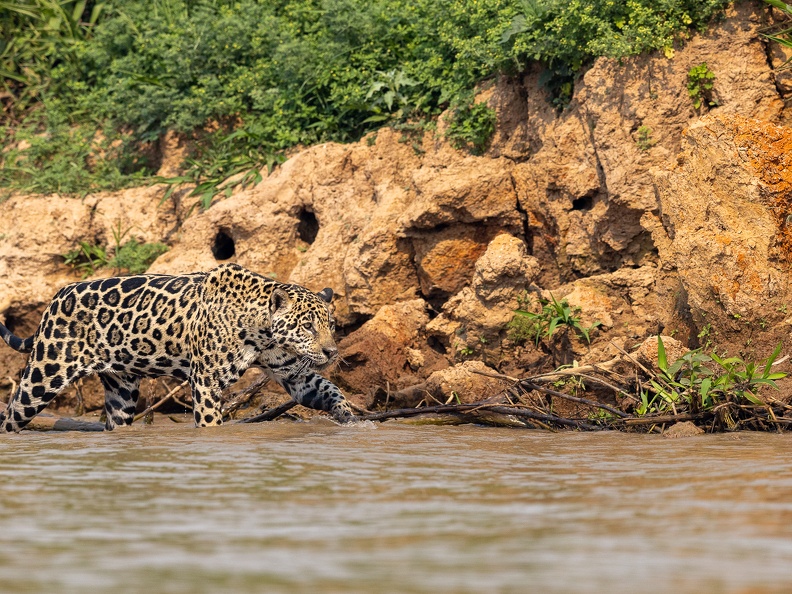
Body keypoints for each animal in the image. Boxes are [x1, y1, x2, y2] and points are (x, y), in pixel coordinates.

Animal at [0, 263, 356, 432]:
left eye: (331, 325)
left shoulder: (295, 375)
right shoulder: (207, 381)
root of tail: (55, 298)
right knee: (11, 415)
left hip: (122, 391)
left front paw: (348, 417)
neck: (264, 334)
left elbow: (329, 389)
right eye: (307, 326)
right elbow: (210, 421)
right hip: (44, 375)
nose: (331, 353)